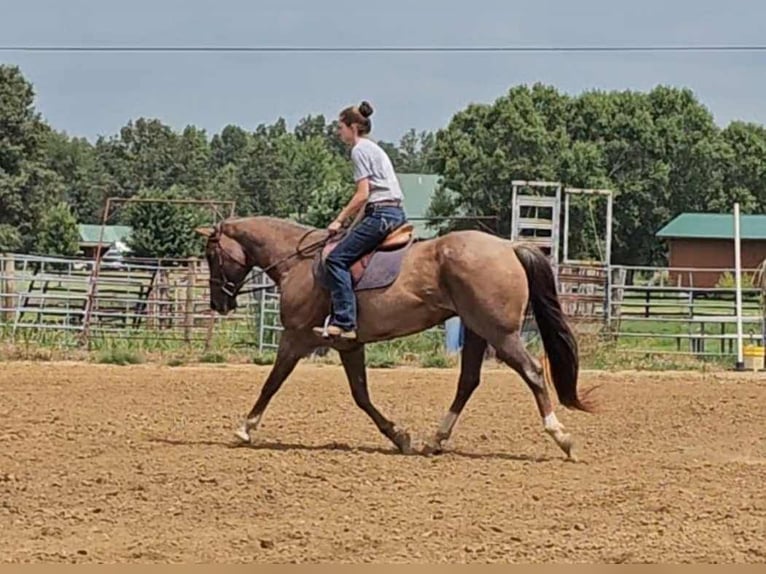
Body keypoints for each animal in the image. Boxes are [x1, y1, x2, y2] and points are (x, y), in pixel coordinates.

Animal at [194, 214, 600, 462]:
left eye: (212, 255)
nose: (218, 302)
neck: (299, 263)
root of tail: (508, 247)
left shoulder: (295, 339)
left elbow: (272, 383)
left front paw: (245, 428)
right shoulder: (349, 344)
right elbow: (361, 395)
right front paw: (399, 436)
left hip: (500, 333)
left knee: (532, 372)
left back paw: (561, 437)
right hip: (477, 331)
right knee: (468, 381)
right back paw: (434, 440)